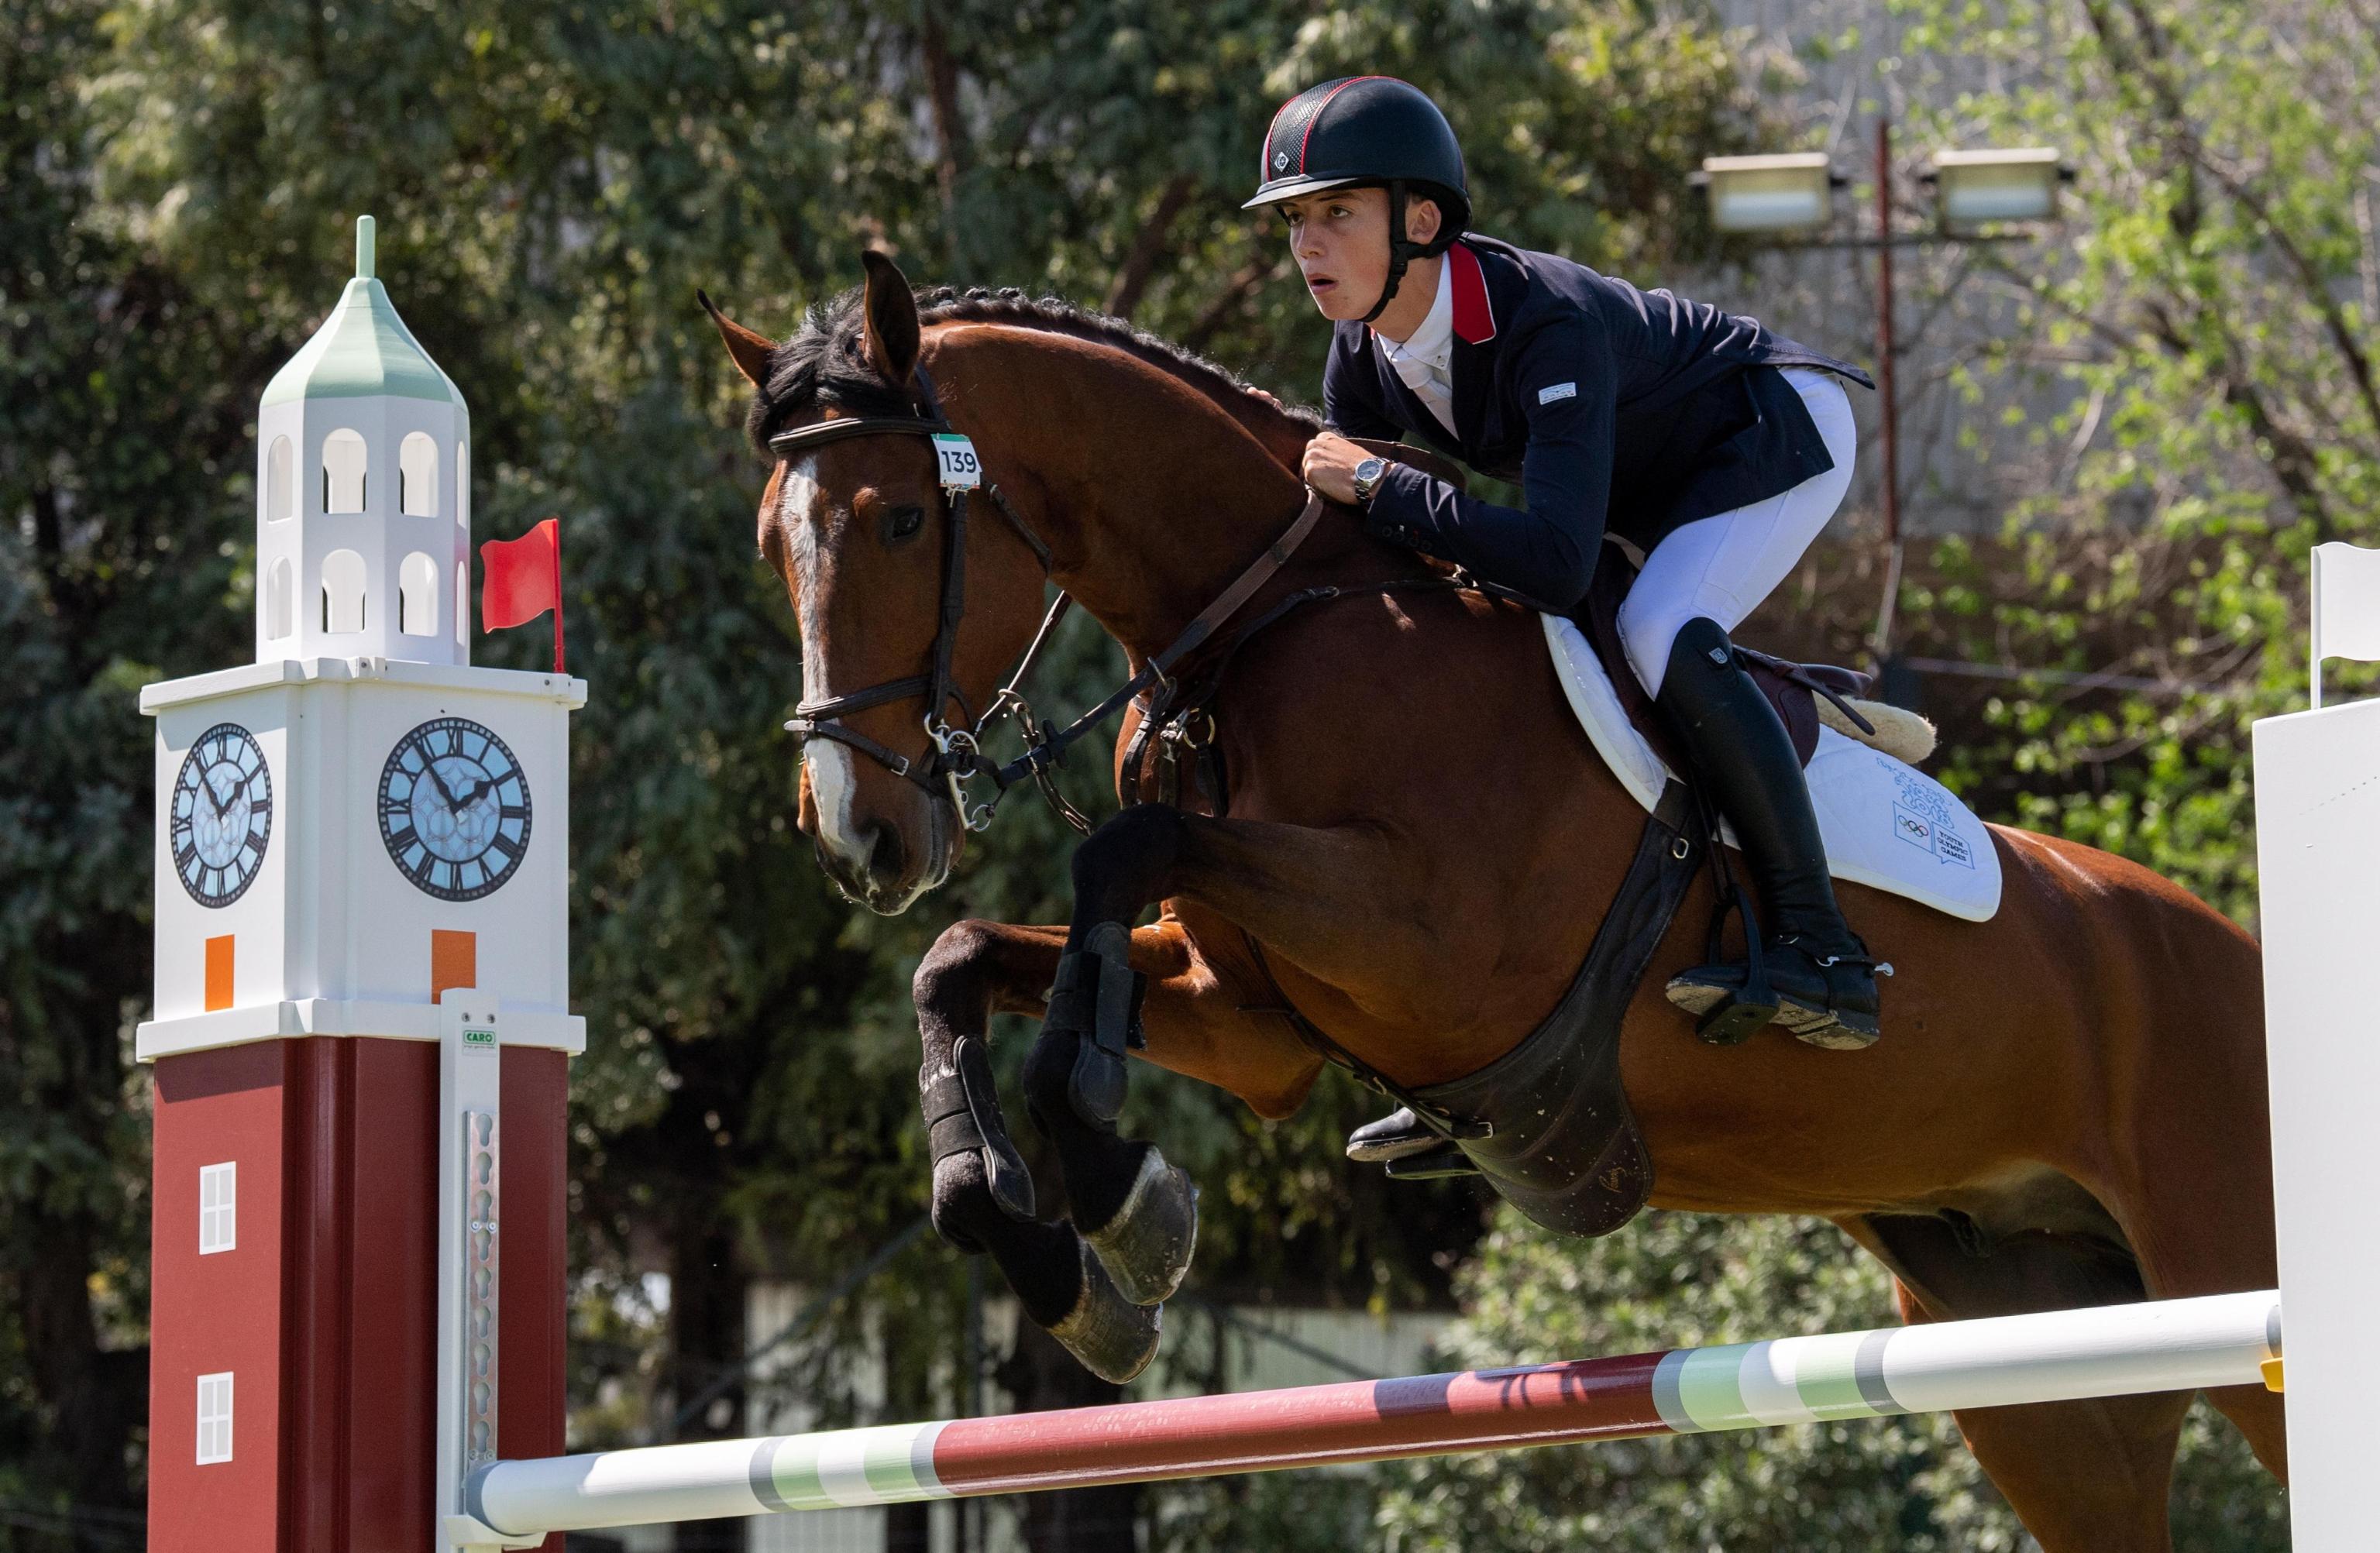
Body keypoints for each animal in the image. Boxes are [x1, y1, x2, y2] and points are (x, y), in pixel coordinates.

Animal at [709, 248, 2285, 1541]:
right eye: (770, 539)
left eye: (898, 523)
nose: (859, 836)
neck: (1264, 629)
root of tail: (2240, 953)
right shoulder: (1251, 1010)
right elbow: (965, 959)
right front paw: (1055, 1246)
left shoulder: (1426, 943)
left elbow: (1118, 856)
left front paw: (1118, 1202)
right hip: (2046, 1373)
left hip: (2229, 1282)